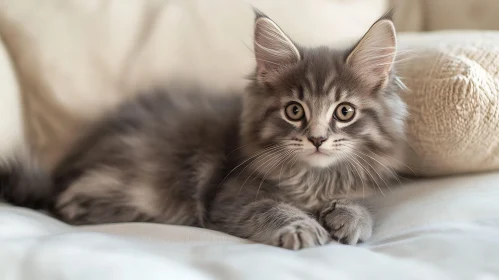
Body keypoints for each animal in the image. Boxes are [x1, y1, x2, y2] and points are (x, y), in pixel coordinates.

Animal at [0, 12, 406, 249]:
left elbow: (357, 202)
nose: (318, 139)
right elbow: (271, 208)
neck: (313, 179)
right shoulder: (229, 194)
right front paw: (301, 227)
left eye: (344, 111)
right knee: (73, 204)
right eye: (294, 111)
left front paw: (351, 218)